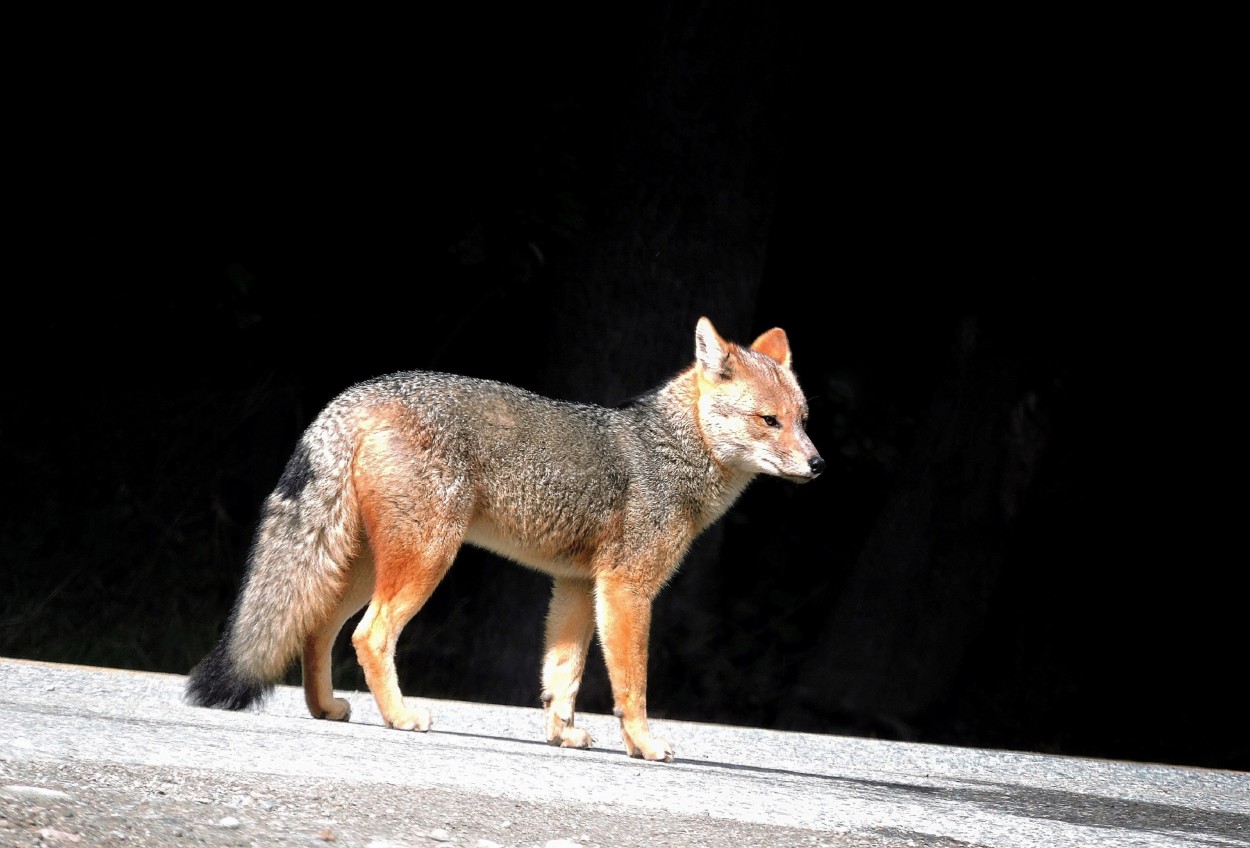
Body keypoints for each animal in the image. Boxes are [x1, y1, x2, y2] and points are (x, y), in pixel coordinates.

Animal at [185, 318, 825, 765]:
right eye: (769, 421)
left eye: (802, 419)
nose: (819, 465)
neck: (671, 450)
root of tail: (361, 393)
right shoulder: (626, 591)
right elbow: (632, 686)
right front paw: (644, 745)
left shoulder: (576, 586)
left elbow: (561, 677)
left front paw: (562, 735)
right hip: (423, 563)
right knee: (369, 636)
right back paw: (400, 716)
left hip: (366, 568)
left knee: (318, 628)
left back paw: (326, 708)